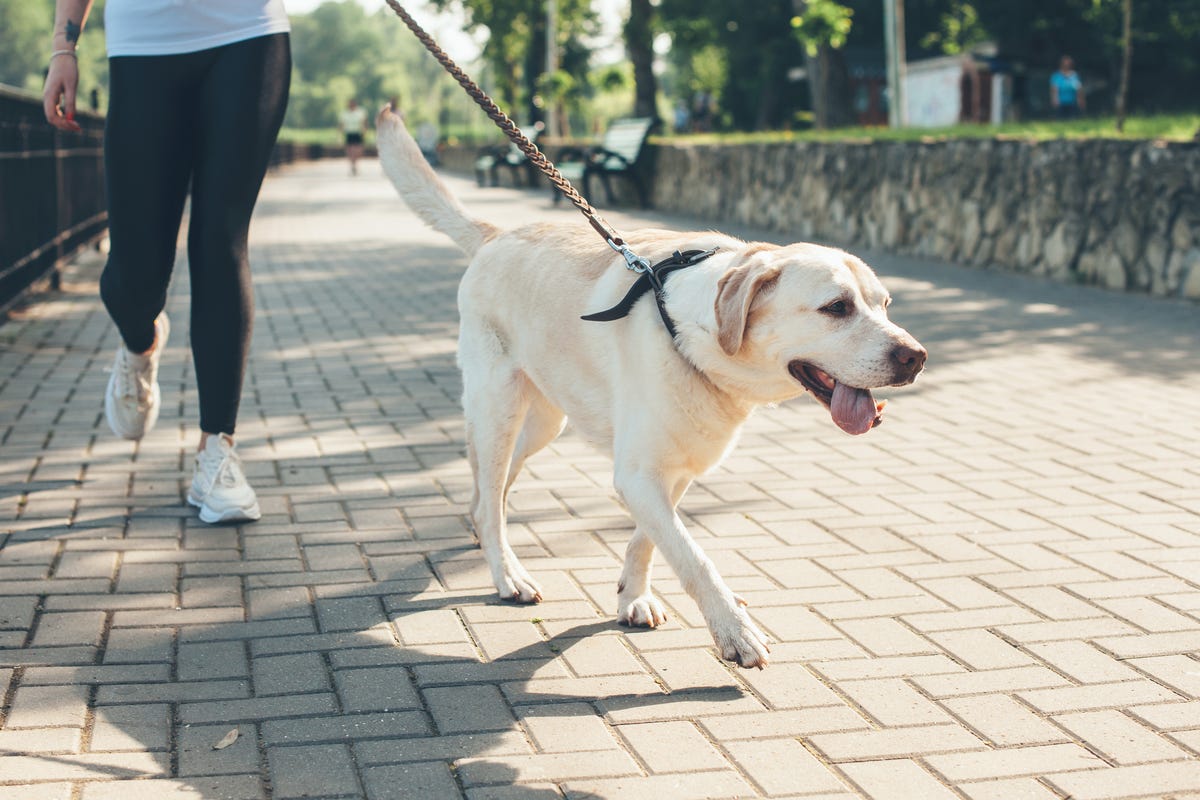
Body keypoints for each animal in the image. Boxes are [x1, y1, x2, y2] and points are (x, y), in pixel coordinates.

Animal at [379, 107, 921, 671]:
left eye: (885, 305)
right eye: (836, 307)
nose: (916, 357)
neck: (690, 331)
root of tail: (496, 235)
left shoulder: (673, 468)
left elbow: (650, 541)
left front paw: (633, 597)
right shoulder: (639, 474)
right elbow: (694, 557)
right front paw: (735, 631)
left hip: (545, 422)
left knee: (491, 489)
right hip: (499, 408)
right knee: (489, 494)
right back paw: (506, 572)